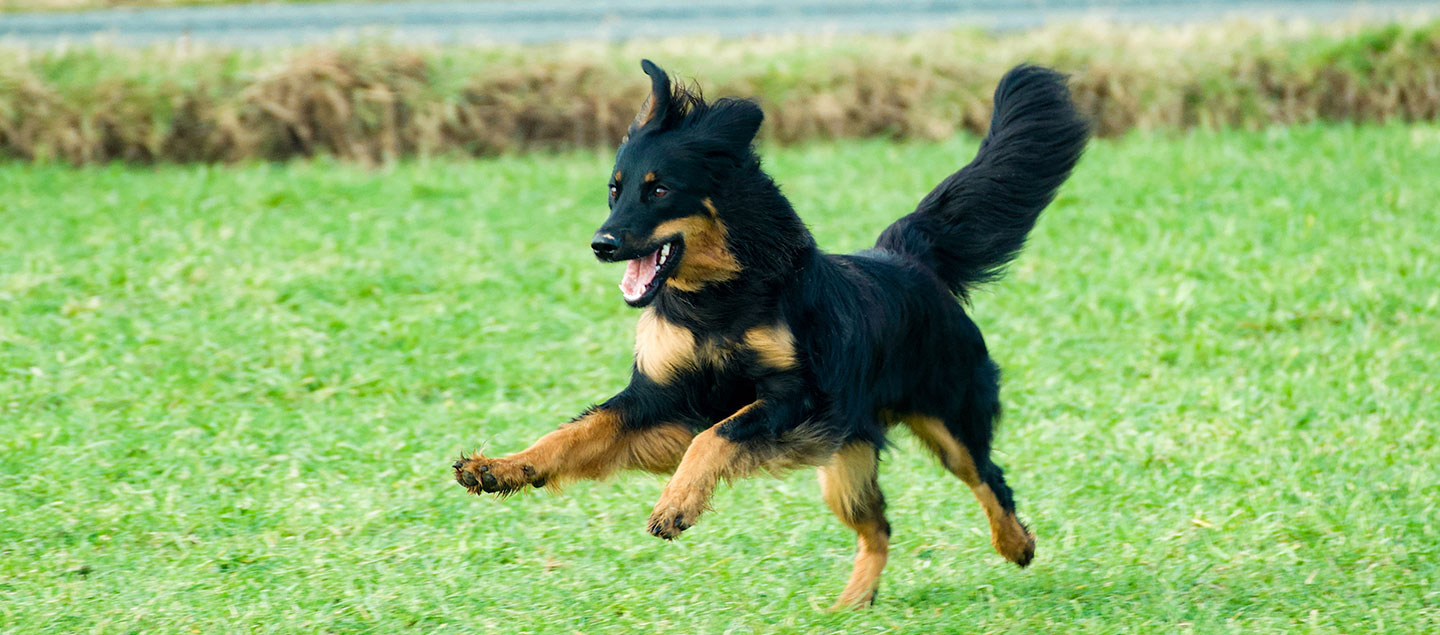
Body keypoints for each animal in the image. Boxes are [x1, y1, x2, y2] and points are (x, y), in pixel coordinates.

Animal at [454, 59, 1088, 609]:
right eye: (615, 189)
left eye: (658, 190)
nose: (601, 245)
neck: (716, 300)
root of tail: (908, 258)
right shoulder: (658, 403)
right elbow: (571, 436)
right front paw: (502, 467)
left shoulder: (793, 399)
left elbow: (716, 438)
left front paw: (677, 504)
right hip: (842, 462)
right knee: (879, 527)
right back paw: (852, 605)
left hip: (948, 424)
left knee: (990, 480)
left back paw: (1016, 544)